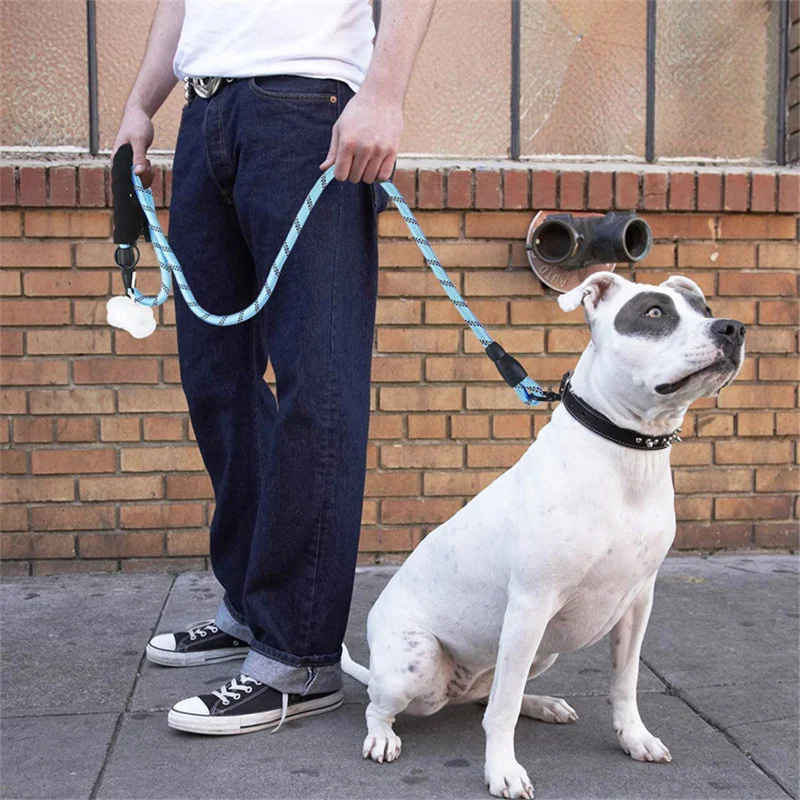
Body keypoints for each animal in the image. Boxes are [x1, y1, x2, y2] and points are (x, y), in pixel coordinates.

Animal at [342, 272, 744, 796]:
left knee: (488, 695)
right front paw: (502, 770)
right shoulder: (531, 604)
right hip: (416, 663)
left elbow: (625, 680)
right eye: (654, 312)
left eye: (705, 308)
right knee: (388, 704)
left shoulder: (638, 602)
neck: (626, 454)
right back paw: (382, 737)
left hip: (541, 652)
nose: (733, 328)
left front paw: (634, 738)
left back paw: (543, 704)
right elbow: (503, 710)